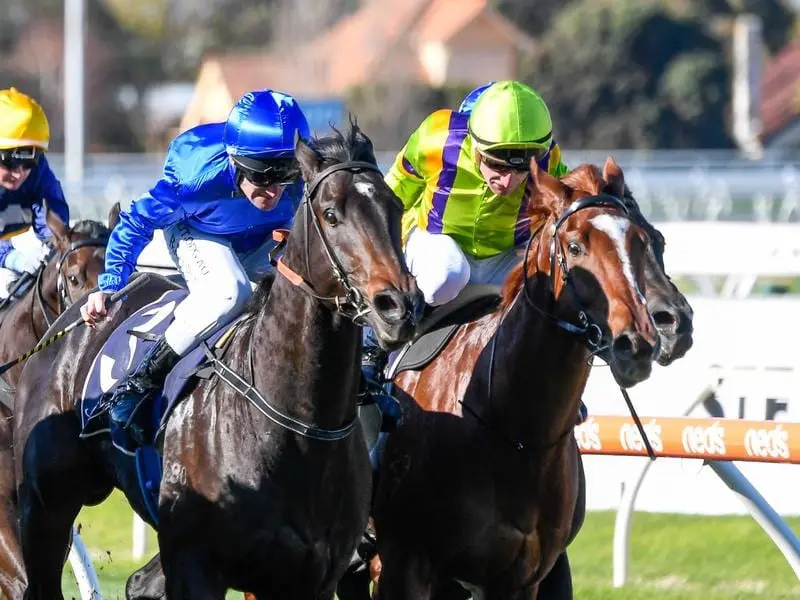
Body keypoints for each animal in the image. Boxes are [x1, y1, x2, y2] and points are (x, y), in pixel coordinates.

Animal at [12, 123, 424, 600]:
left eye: (395, 207)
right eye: (330, 214)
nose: (398, 306)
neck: (298, 425)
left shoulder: (314, 575)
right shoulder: (195, 563)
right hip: (46, 507)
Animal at [368, 158, 656, 600]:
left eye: (643, 242)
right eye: (575, 246)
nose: (636, 344)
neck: (513, 430)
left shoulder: (520, 576)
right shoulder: (405, 563)